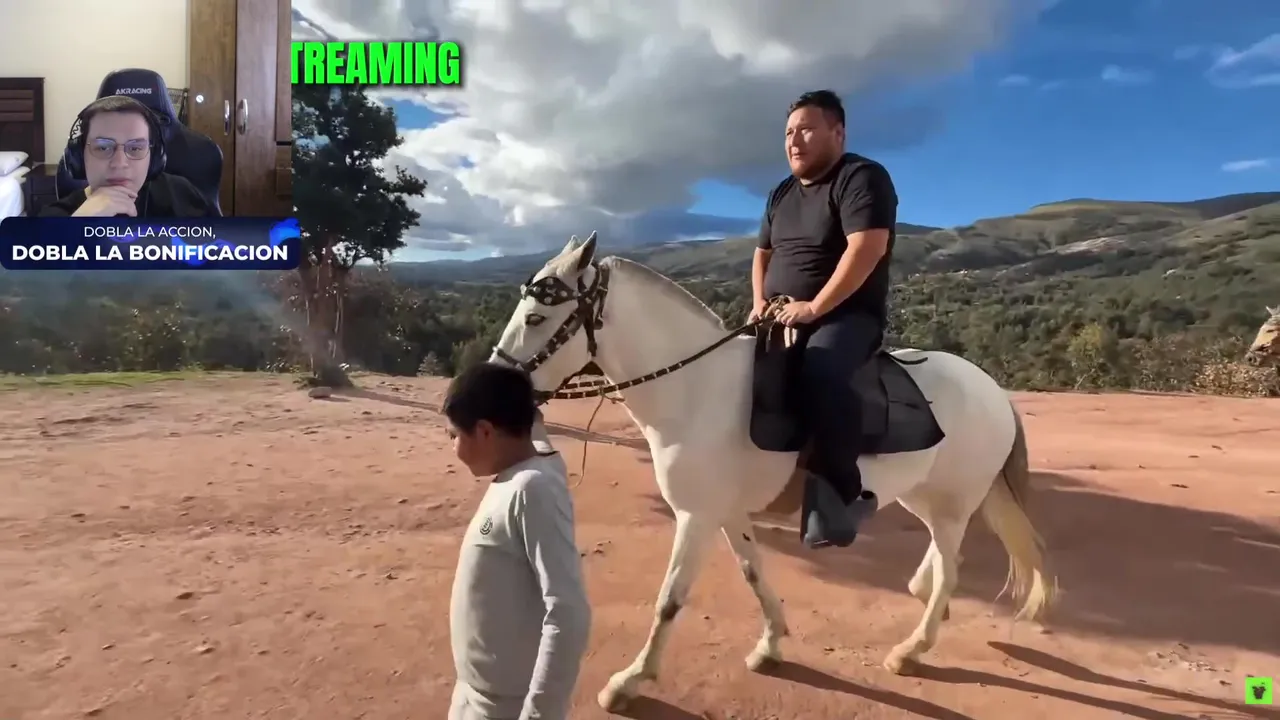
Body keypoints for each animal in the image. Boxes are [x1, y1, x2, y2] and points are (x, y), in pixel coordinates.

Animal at [489, 232, 1056, 712]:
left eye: (536, 317)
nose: (493, 382)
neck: (697, 392)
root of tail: (991, 389)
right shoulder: (727, 513)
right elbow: (753, 573)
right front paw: (771, 644)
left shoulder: (696, 517)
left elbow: (670, 599)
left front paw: (630, 680)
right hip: (922, 496)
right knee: (939, 559)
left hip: (954, 502)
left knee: (952, 567)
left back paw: (913, 647)